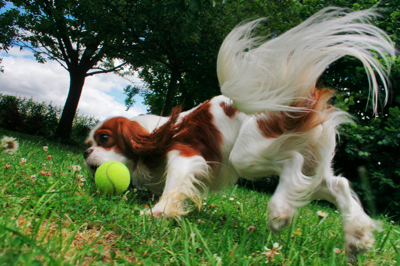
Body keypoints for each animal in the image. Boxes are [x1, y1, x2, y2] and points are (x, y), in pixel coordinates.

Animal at [83, 7, 396, 262]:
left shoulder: (186, 155)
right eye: (89, 142)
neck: (156, 133)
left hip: (249, 153)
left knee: (291, 164)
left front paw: (158, 212)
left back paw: (280, 211)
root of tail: (294, 98)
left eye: (105, 139)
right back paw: (356, 237)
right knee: (336, 184)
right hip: (311, 163)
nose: (86, 152)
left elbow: (174, 186)